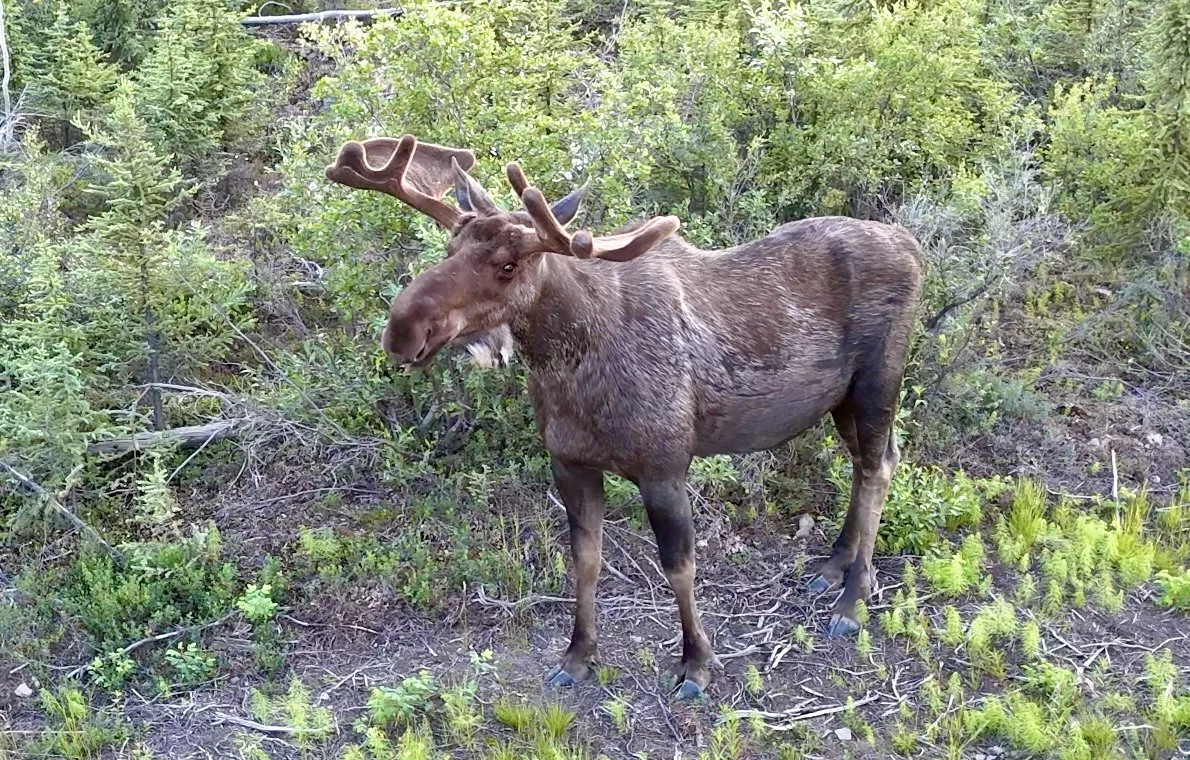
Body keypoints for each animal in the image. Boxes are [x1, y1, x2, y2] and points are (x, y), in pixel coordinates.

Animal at [326, 133, 918, 699]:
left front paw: (696, 664)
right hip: (839, 399)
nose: (402, 329)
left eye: (508, 265)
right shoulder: (569, 462)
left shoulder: (664, 464)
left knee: (878, 467)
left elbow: (680, 566)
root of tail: (915, 249)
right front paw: (577, 657)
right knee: (871, 462)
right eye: (450, 246)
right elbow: (585, 560)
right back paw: (833, 568)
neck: (574, 366)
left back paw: (853, 599)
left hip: (878, 381)